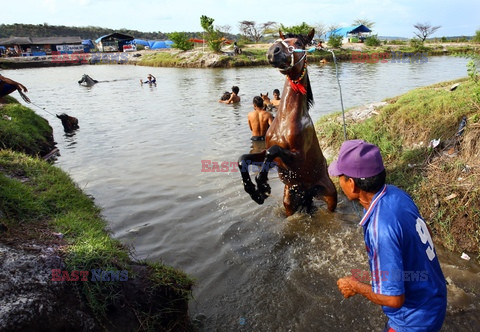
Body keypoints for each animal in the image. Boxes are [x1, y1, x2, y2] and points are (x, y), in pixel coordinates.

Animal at [237, 27, 336, 215]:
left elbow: (272, 151)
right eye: (284, 39)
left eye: (298, 43)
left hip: (330, 198)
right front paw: (253, 191)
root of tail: (308, 191)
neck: (285, 121)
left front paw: (263, 186)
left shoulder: (297, 158)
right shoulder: (267, 154)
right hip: (289, 201)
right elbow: (243, 158)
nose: (272, 51)